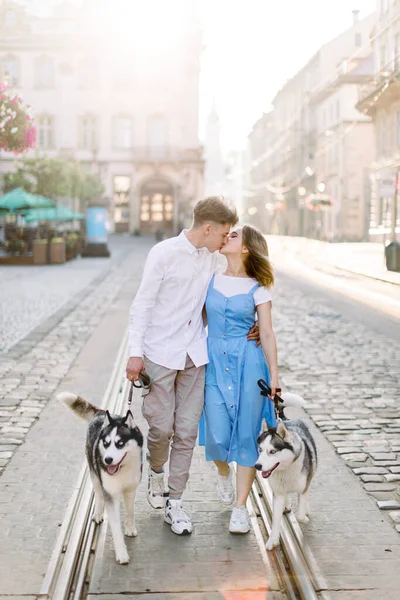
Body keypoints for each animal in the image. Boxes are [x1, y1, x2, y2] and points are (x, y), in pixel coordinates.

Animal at [57, 392, 142, 564]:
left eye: (120, 443)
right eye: (106, 443)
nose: (107, 460)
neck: (122, 469)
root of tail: (102, 413)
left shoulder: (131, 489)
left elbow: (130, 511)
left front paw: (130, 528)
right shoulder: (111, 494)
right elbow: (115, 526)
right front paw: (122, 553)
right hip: (94, 474)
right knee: (98, 493)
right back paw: (97, 514)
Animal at [255, 392, 318, 552]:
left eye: (272, 451)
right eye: (260, 450)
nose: (257, 466)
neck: (286, 469)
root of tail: (284, 419)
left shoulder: (303, 488)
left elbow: (300, 514)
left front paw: (304, 517)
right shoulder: (277, 493)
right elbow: (276, 519)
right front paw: (273, 540)